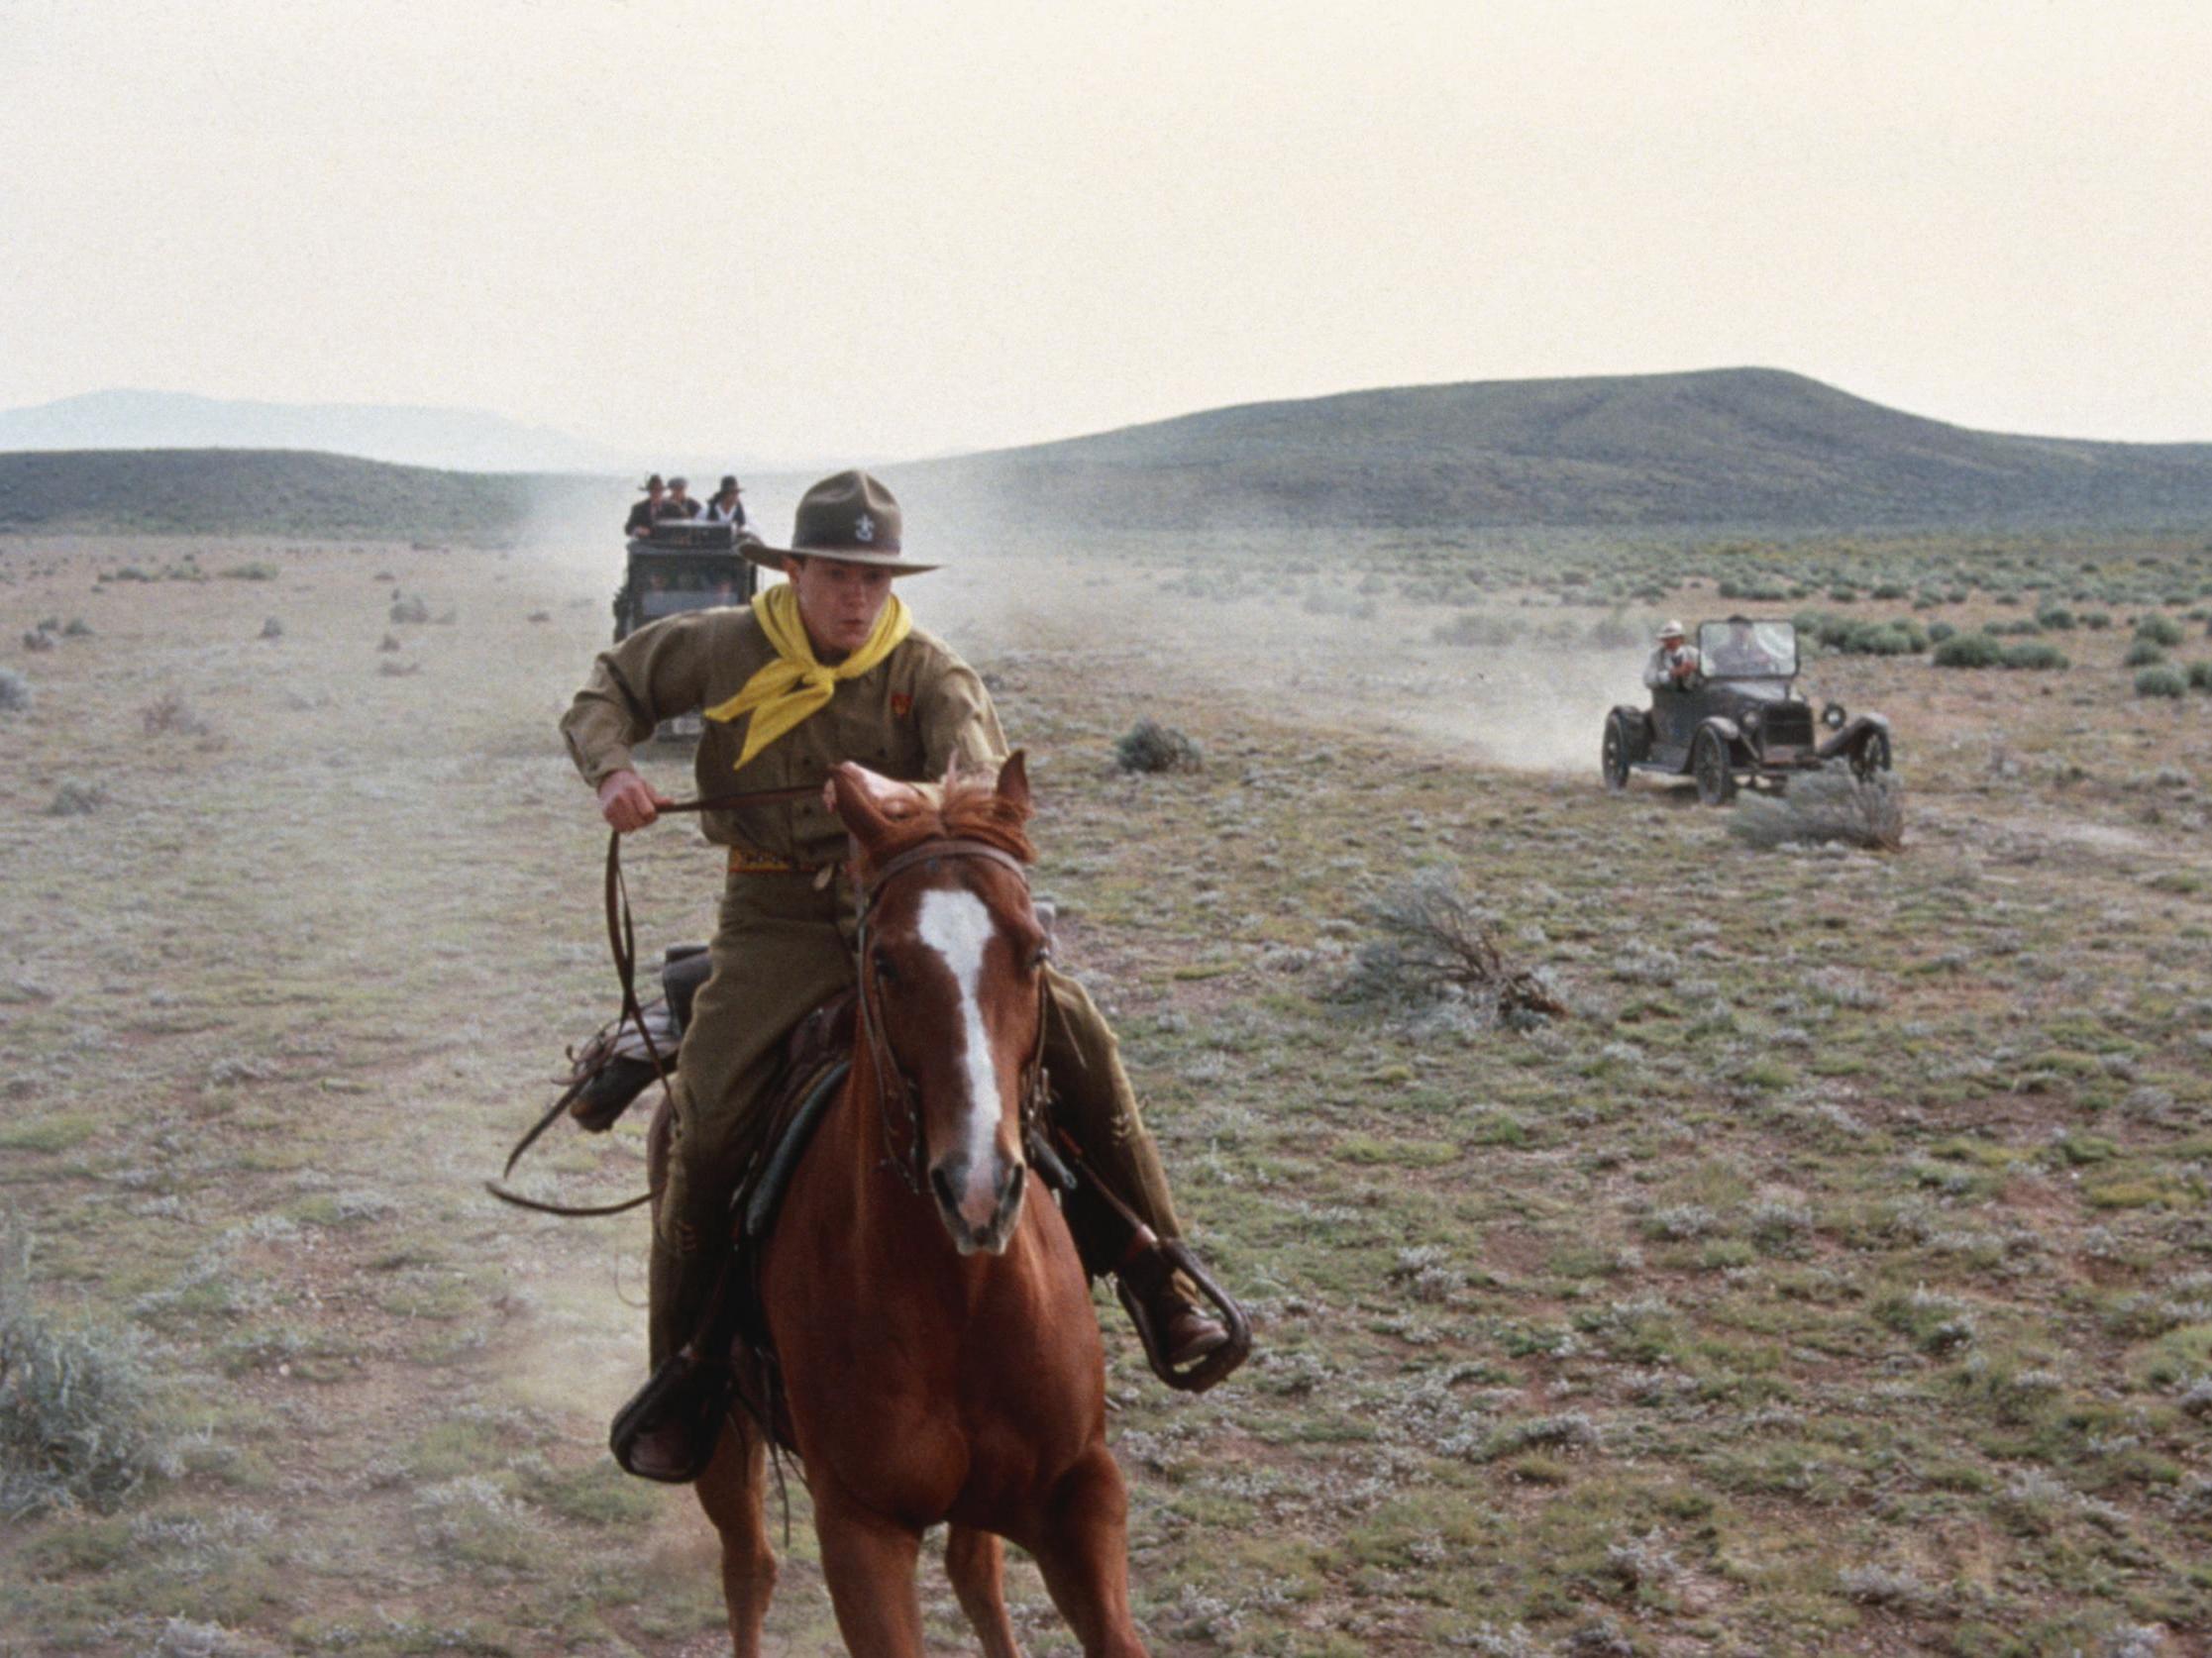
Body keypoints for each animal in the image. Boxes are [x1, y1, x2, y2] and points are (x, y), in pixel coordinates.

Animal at [668, 756, 1141, 1658]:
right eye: (885, 963)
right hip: (723, 1441)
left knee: (976, 1575)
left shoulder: (1079, 1493)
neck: (958, 1297)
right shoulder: (861, 1529)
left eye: (1035, 951)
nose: (978, 1187)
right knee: (749, 1569)